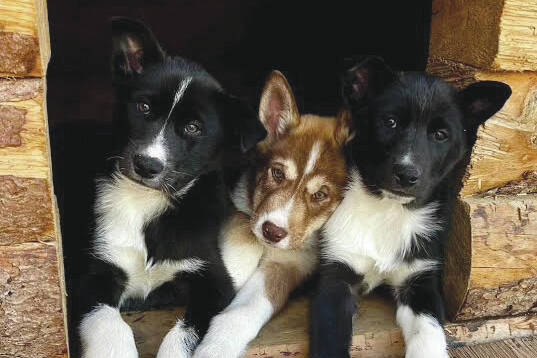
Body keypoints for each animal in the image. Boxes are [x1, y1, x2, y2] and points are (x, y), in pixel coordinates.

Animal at [70, 18, 264, 358]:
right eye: (143, 106)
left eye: (193, 128)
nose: (147, 165)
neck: (145, 201)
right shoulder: (94, 272)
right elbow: (108, 323)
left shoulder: (213, 280)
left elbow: (187, 330)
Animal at [192, 70, 348, 358]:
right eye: (277, 173)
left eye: (320, 195)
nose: (272, 232)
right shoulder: (239, 205)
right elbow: (244, 233)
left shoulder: (289, 265)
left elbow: (243, 312)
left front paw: (216, 348)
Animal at [308, 56, 508, 358]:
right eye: (389, 122)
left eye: (440, 134)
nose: (406, 174)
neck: (387, 209)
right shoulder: (335, 275)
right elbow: (330, 338)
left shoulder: (420, 281)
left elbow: (429, 333)